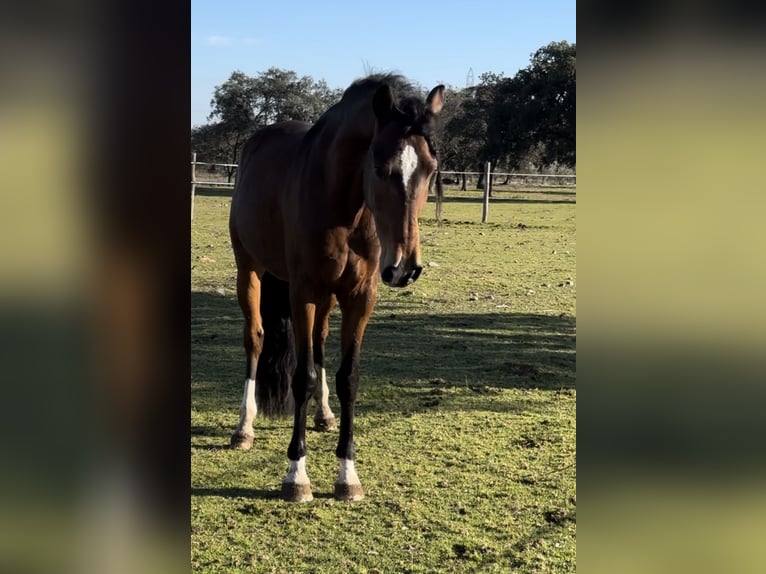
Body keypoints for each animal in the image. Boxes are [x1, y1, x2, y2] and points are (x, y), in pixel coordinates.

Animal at [228, 73, 444, 504]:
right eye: (380, 167)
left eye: (431, 168)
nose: (405, 268)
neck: (343, 205)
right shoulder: (303, 292)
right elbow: (302, 377)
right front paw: (296, 476)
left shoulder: (360, 297)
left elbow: (348, 377)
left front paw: (347, 474)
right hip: (251, 270)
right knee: (256, 338)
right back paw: (244, 428)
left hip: (327, 296)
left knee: (320, 341)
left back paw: (324, 414)